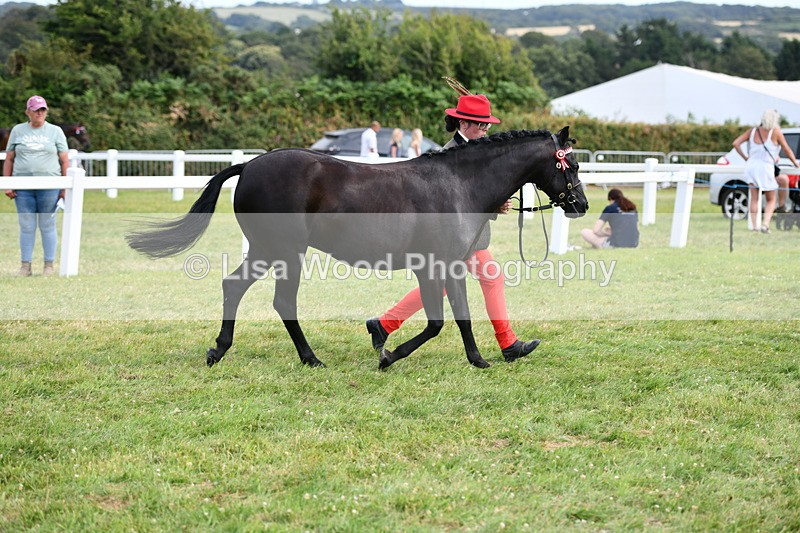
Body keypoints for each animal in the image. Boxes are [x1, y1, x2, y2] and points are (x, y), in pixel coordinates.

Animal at [127, 127, 588, 370]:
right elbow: (439, 321)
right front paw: (388, 356)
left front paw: (481, 358)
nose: (581, 204)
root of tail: (250, 164)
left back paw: (219, 350)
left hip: (264, 250)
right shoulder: (432, 264)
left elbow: (458, 315)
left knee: (234, 287)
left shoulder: (449, 264)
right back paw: (310, 358)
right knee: (282, 302)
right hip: (285, 252)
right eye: (571, 163)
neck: (457, 184)